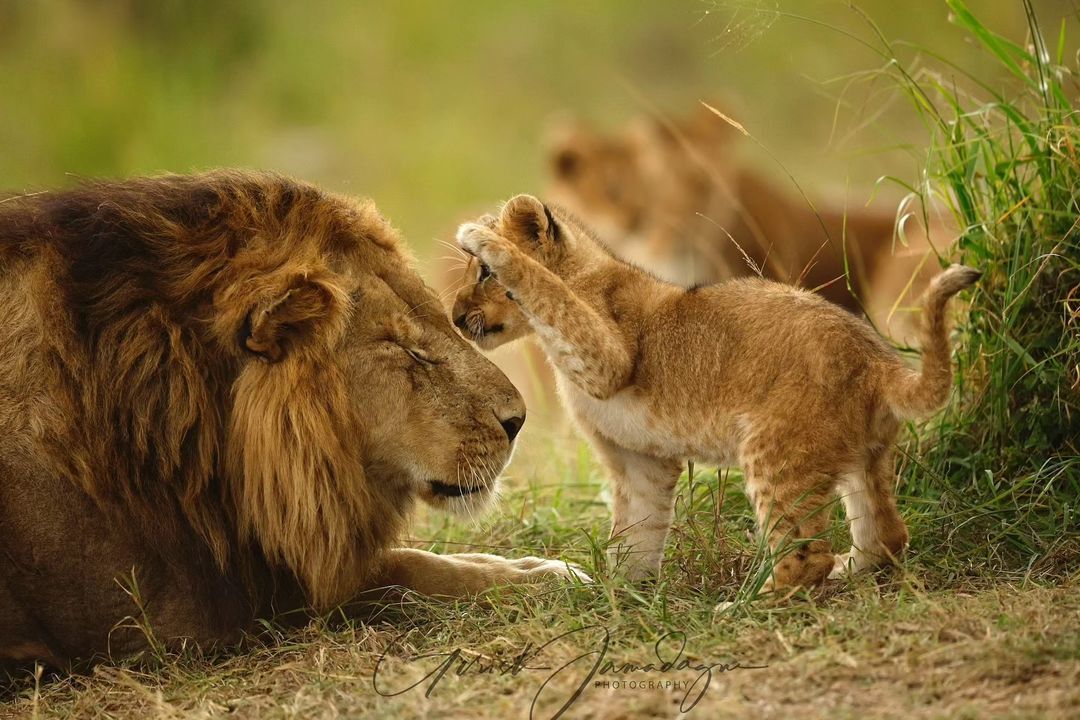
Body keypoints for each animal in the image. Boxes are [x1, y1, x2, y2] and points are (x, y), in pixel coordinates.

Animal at [0, 170, 583, 669]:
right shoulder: (175, 615)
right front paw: (549, 578)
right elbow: (407, 569)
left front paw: (538, 567)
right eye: (407, 351)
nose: (518, 421)